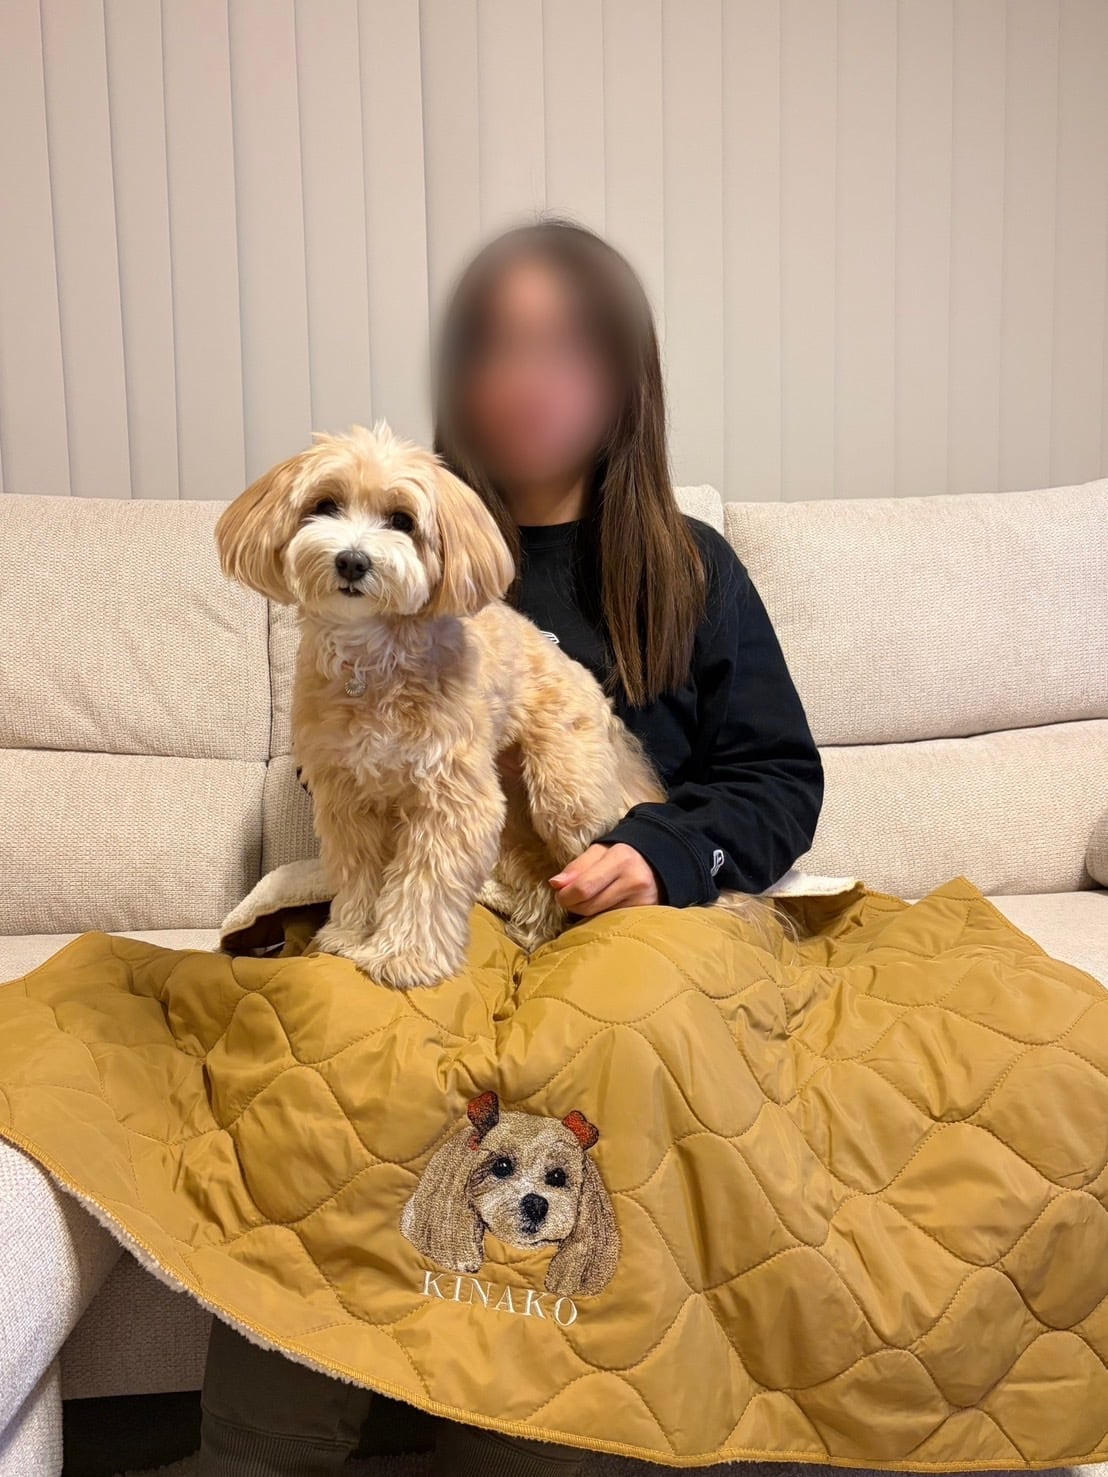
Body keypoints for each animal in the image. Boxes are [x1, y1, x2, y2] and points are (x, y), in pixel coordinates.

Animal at [215, 421, 665, 988]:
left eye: (402, 521)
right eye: (325, 505)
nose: (352, 560)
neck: (374, 659)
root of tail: (594, 690)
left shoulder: (451, 799)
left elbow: (424, 883)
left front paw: (403, 958)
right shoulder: (348, 797)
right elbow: (360, 874)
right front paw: (351, 936)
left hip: (564, 794)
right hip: (514, 816)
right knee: (540, 872)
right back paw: (534, 927)